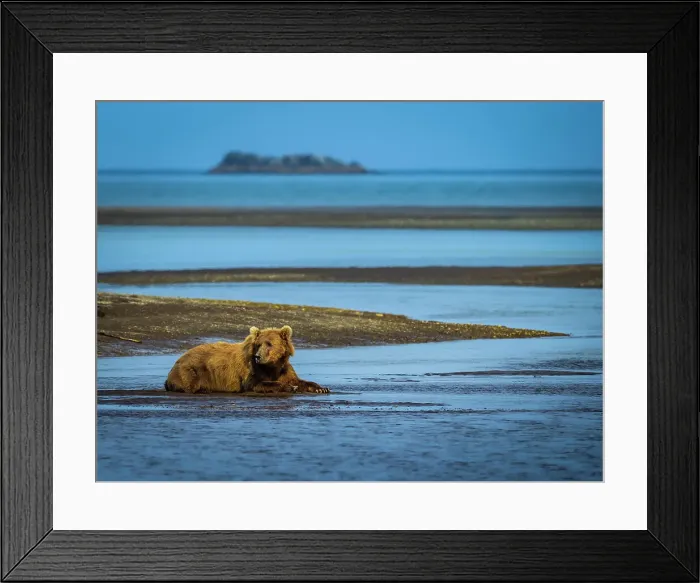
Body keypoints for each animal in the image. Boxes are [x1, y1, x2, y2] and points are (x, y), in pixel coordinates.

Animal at [164, 325, 330, 395]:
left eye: (269, 344)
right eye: (258, 344)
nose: (258, 356)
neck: (272, 366)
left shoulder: (283, 369)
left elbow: (297, 379)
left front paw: (321, 388)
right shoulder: (251, 370)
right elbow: (256, 384)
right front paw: (289, 387)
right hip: (192, 368)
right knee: (190, 382)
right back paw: (203, 389)